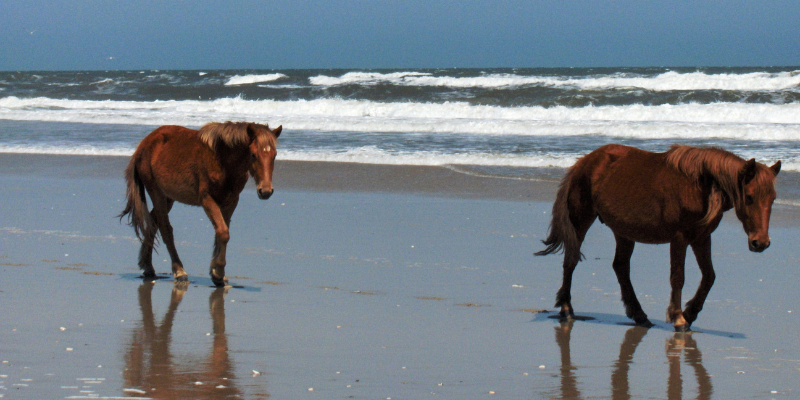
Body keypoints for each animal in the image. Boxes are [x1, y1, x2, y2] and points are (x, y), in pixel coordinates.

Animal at [119, 122, 282, 286]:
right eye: (253, 155)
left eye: (274, 155)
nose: (265, 191)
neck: (222, 160)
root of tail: (143, 145)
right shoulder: (207, 199)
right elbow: (223, 233)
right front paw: (218, 273)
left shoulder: (231, 201)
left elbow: (221, 233)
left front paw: (217, 273)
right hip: (156, 193)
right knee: (165, 229)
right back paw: (179, 271)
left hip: (168, 198)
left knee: (153, 223)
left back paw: (147, 266)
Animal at [536, 144, 781, 331]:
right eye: (749, 197)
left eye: (773, 198)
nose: (761, 242)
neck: (699, 186)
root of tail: (584, 162)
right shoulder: (680, 238)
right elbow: (678, 277)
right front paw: (679, 317)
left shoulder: (701, 238)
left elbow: (709, 276)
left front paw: (690, 313)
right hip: (581, 221)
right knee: (571, 261)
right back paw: (567, 309)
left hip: (623, 232)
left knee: (620, 267)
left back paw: (639, 315)